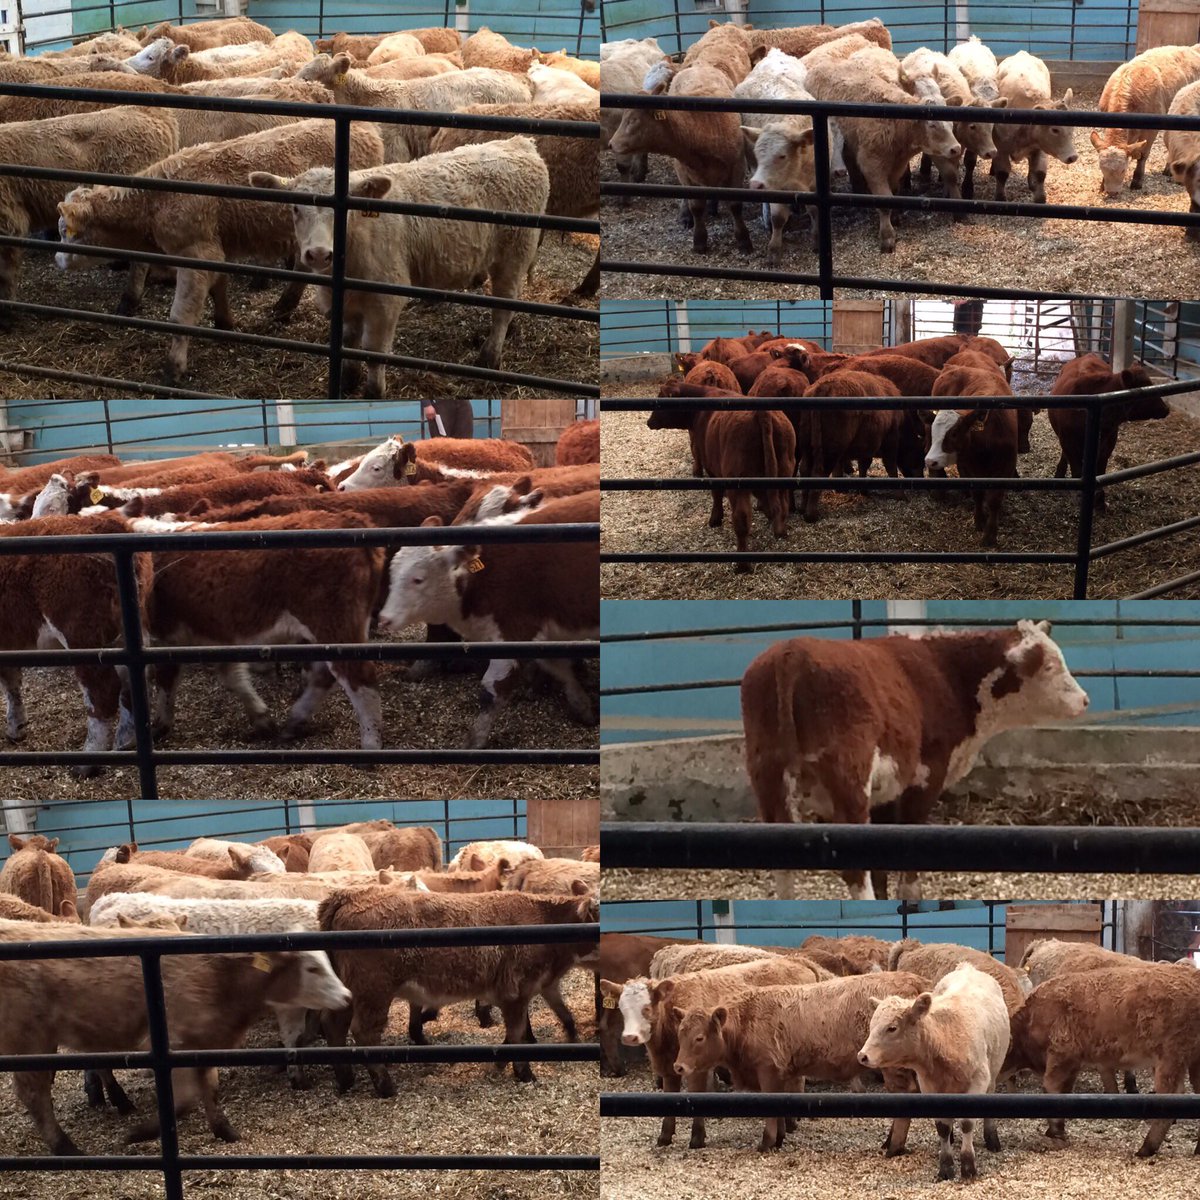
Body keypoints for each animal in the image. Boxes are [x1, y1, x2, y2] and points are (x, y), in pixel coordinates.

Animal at [740, 620, 1089, 900]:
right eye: (1049, 667)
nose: (1085, 699)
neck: (946, 674)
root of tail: (790, 652)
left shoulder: (885, 791)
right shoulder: (926, 774)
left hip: (767, 774)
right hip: (849, 779)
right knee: (854, 870)